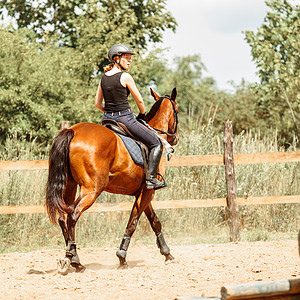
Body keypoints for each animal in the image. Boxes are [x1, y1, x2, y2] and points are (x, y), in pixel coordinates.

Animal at [45, 87, 179, 274]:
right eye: (177, 111)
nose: (175, 138)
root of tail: (73, 131)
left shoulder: (143, 191)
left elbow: (155, 222)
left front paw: (168, 255)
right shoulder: (149, 191)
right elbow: (133, 223)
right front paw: (122, 258)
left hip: (70, 187)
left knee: (63, 218)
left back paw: (69, 258)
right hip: (92, 190)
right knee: (73, 216)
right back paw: (75, 260)